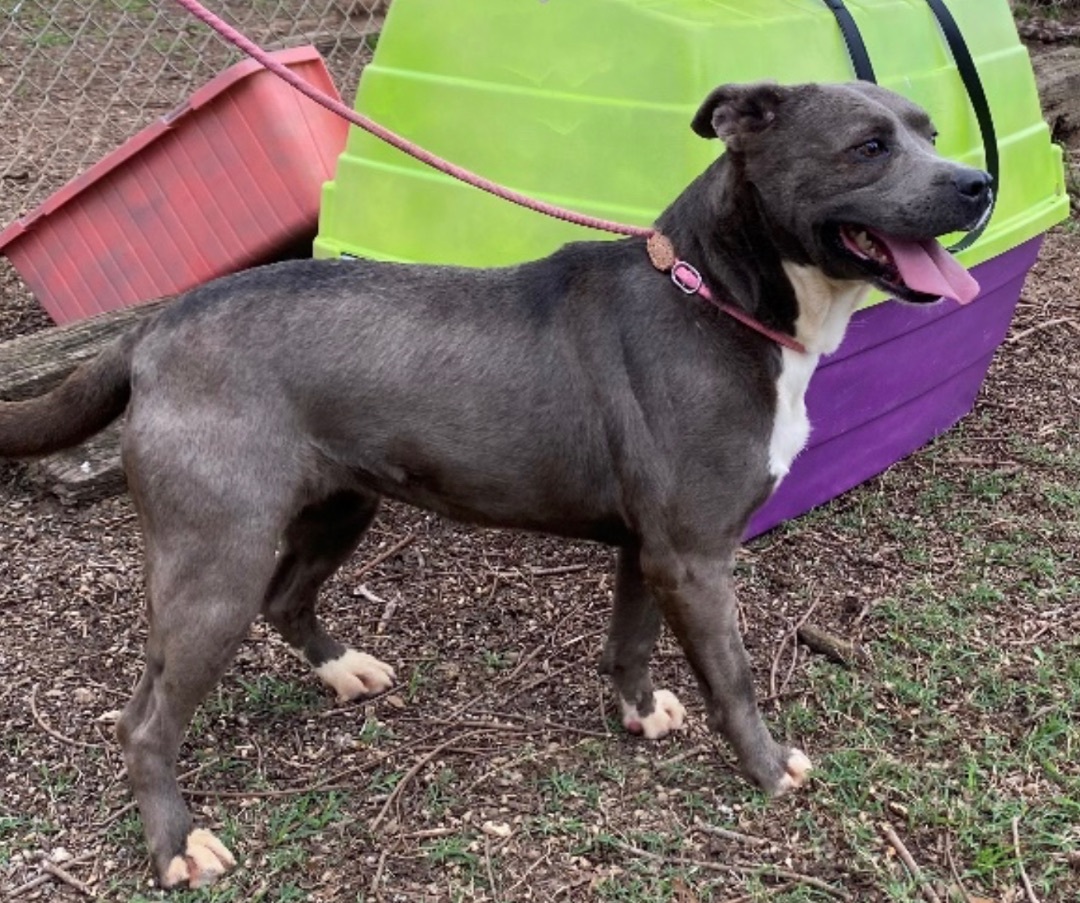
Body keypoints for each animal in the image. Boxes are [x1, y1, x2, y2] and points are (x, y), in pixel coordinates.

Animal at [0, 81, 989, 885]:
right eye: (868, 145)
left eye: (931, 132)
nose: (978, 181)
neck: (715, 295)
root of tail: (156, 326)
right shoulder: (697, 555)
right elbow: (735, 677)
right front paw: (768, 765)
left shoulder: (651, 549)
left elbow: (630, 643)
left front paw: (638, 715)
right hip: (216, 564)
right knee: (144, 721)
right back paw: (176, 845)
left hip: (339, 505)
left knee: (288, 599)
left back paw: (343, 669)